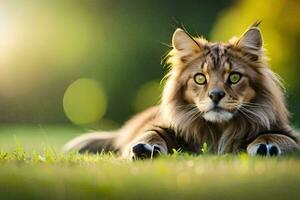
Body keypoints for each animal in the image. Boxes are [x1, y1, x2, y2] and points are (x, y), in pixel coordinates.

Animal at [63, 22, 298, 159]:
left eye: (234, 77)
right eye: (200, 78)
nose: (216, 95)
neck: (219, 130)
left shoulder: (288, 132)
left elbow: (277, 136)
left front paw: (266, 146)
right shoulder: (165, 126)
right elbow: (151, 133)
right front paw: (146, 148)